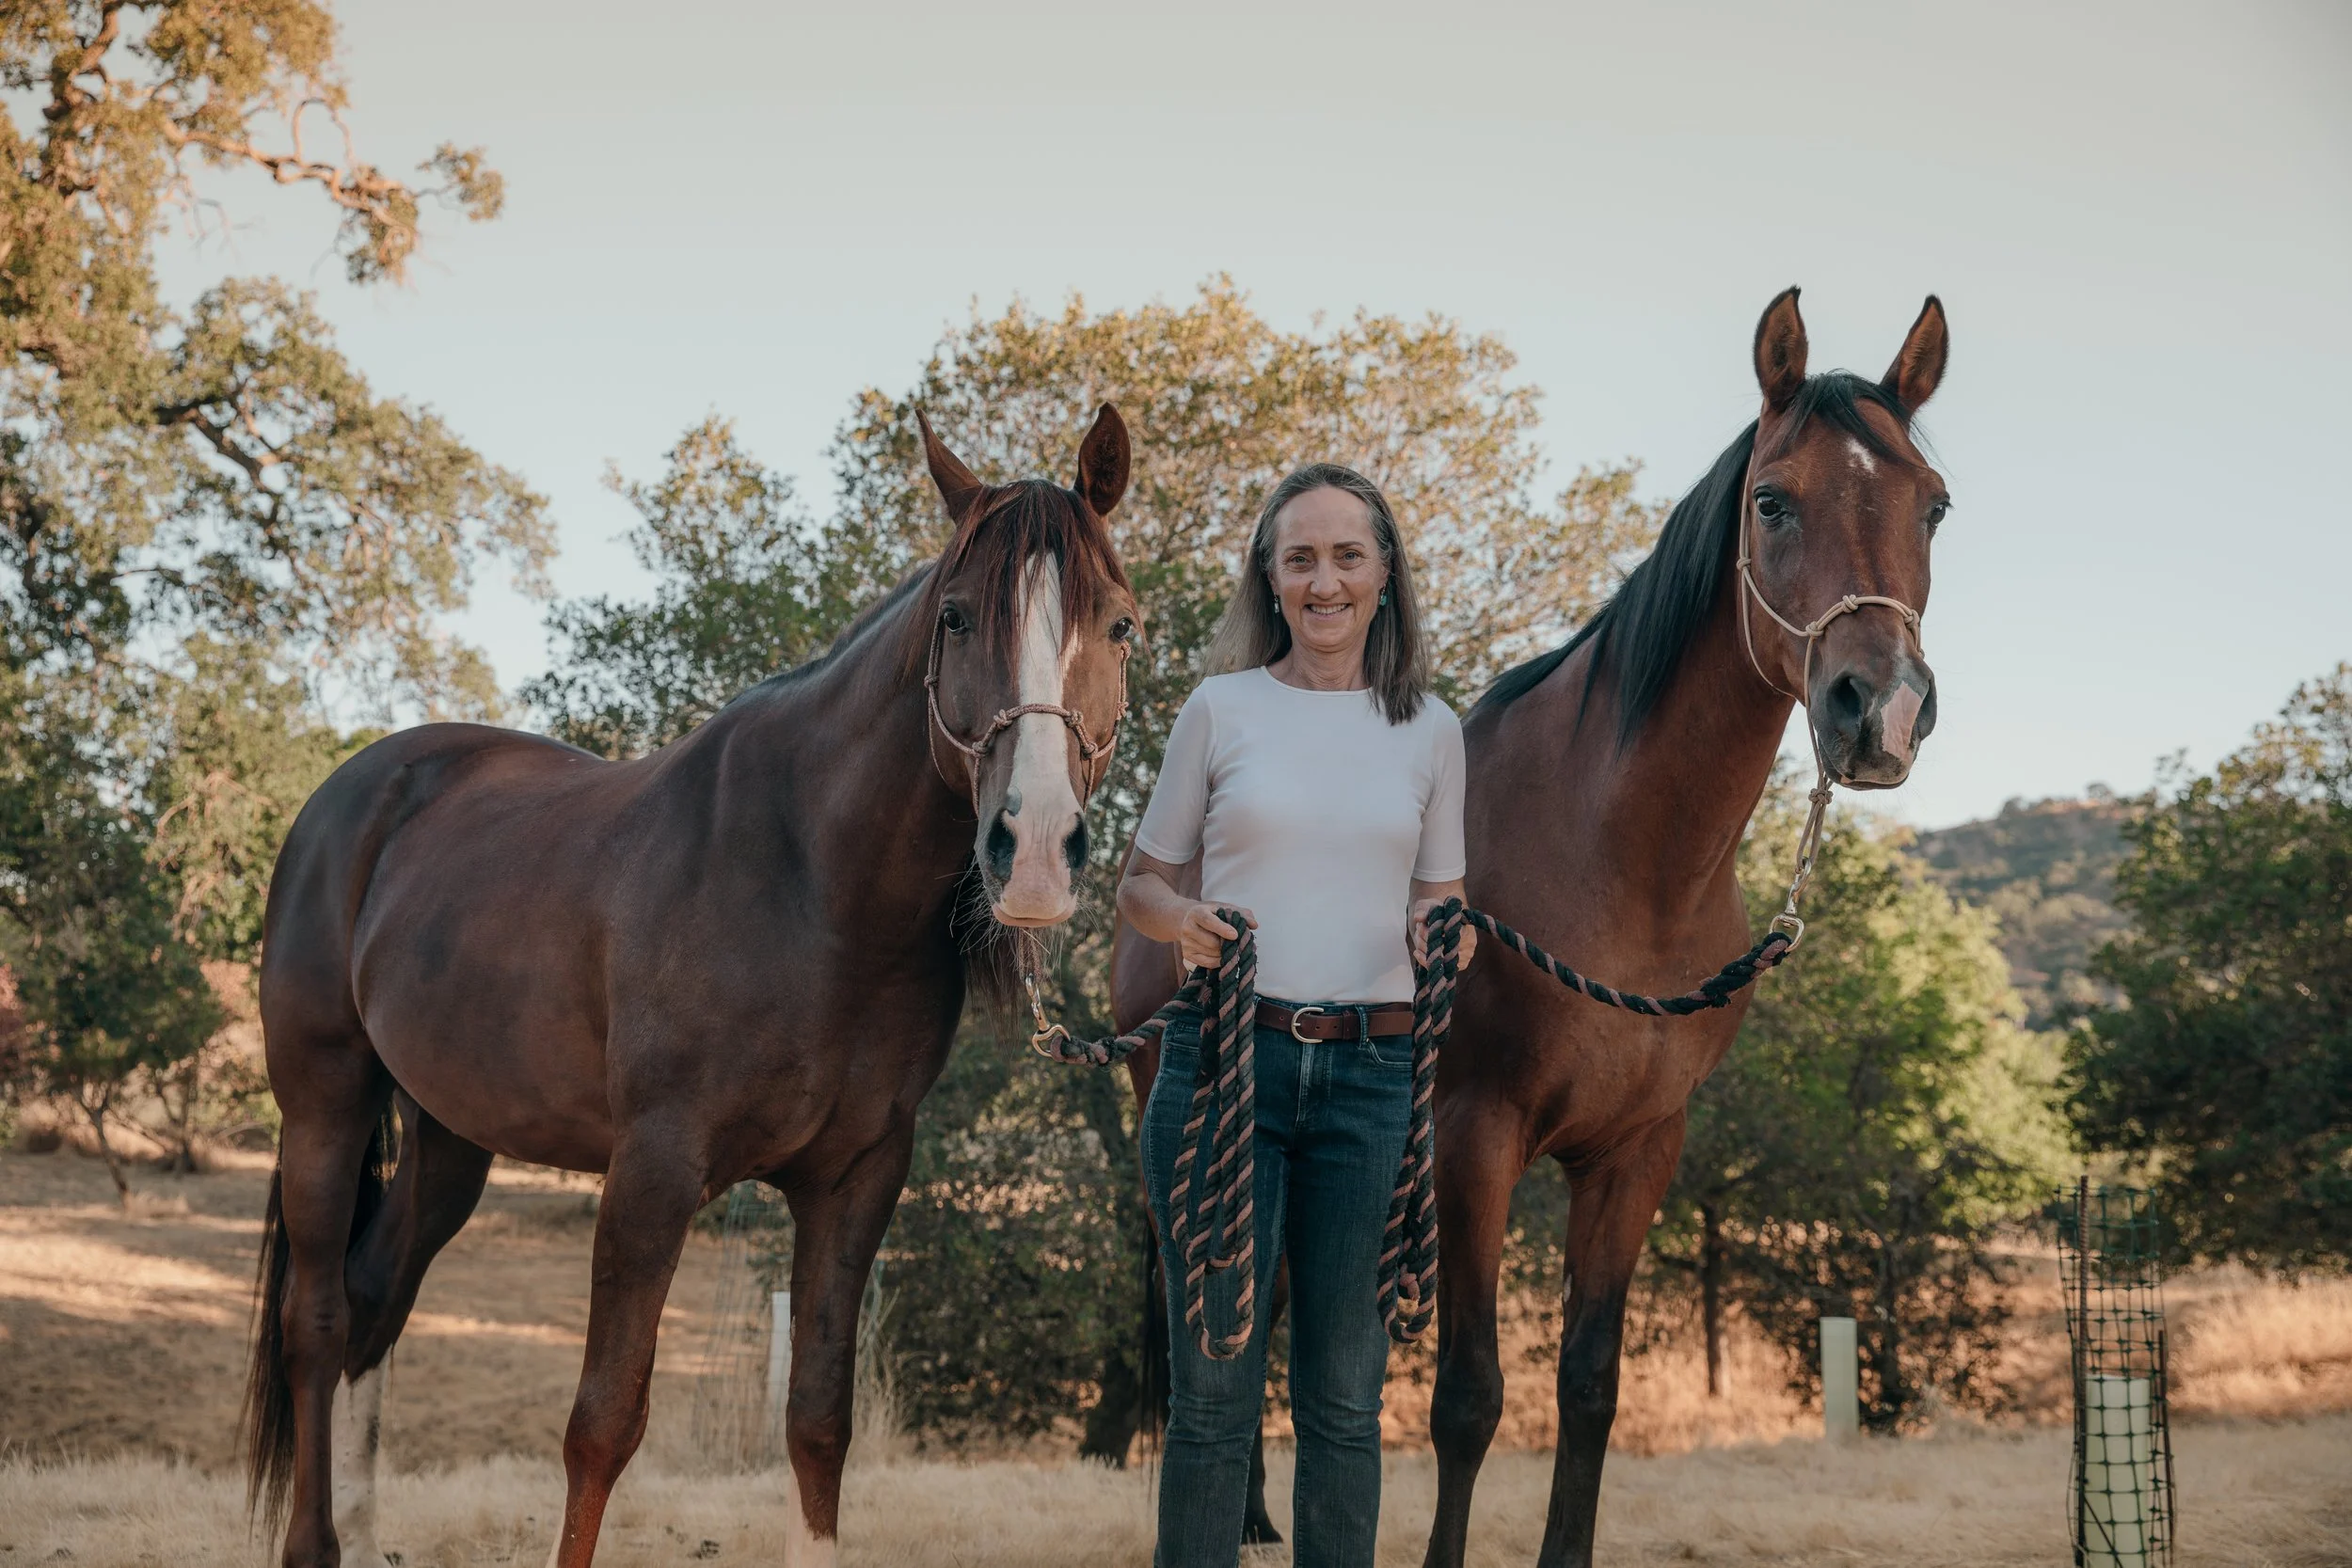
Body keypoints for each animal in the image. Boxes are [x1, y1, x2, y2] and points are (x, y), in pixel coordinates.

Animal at [244, 404, 1143, 1568]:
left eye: (1118, 626)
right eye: (953, 618)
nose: (1031, 850)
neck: (812, 882)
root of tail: (353, 789)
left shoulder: (856, 1178)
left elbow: (817, 1419)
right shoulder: (653, 1170)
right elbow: (602, 1423)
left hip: (450, 1137)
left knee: (371, 1302)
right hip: (325, 1101)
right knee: (315, 1322)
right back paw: (315, 1539)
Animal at [1110, 288, 1949, 1566]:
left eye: (1934, 504)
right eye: (1772, 499)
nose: (1882, 711)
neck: (1620, 863)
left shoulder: (1639, 1150)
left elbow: (1587, 1385)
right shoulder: (1472, 1134)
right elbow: (1468, 1395)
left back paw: (1255, 1513)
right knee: (1214, 1294)